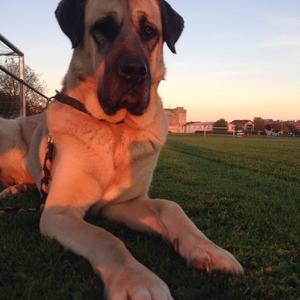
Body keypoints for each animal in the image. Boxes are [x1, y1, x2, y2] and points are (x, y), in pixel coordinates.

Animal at [0, 1, 244, 298]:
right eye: (103, 27)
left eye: (149, 30)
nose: (135, 71)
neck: (116, 129)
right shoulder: (59, 212)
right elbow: (106, 238)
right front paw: (138, 281)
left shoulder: (122, 203)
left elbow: (171, 207)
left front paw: (207, 249)